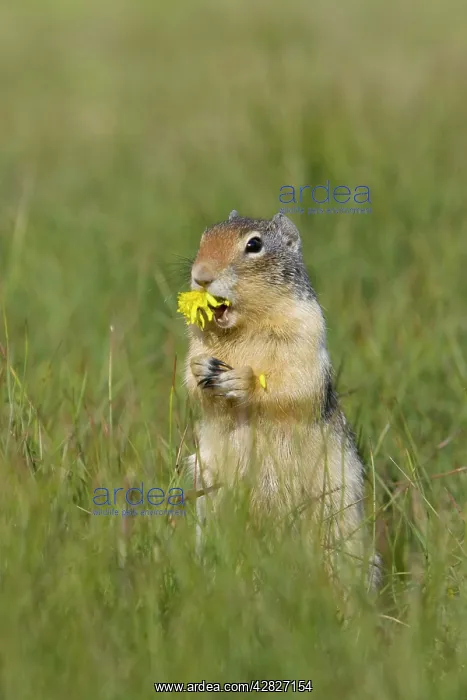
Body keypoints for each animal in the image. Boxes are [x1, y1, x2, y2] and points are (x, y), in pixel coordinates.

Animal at [184, 211, 380, 588]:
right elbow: (192, 384)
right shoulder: (197, 343)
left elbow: (293, 384)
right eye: (203, 237)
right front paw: (202, 369)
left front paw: (243, 380)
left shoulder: (305, 334)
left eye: (254, 245)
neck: (243, 327)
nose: (201, 276)